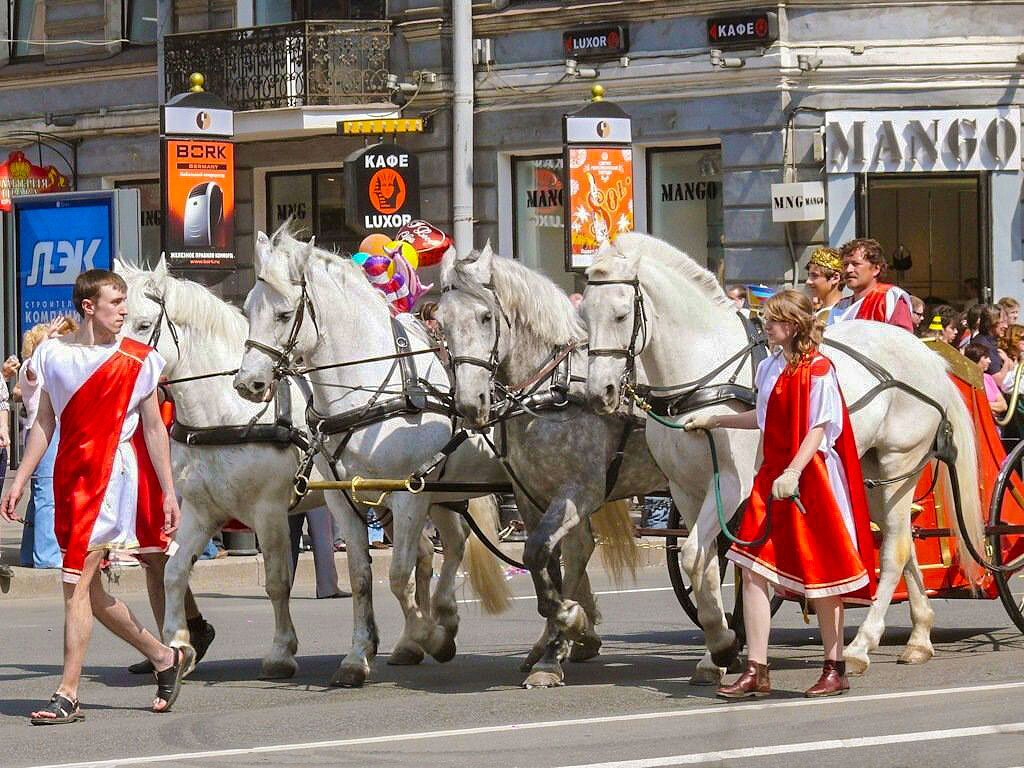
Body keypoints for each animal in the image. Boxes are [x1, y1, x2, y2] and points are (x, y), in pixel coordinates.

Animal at [233, 230, 520, 692]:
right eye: (247, 310)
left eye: (282, 314)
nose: (249, 383)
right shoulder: (345, 501)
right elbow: (362, 577)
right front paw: (358, 655)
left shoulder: (408, 496)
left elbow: (399, 576)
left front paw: (424, 634)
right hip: (444, 492)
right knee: (455, 543)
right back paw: (443, 618)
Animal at [436, 243, 667, 688]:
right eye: (440, 322)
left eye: (486, 316)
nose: (470, 404)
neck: (552, 391)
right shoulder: (530, 497)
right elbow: (545, 564)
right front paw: (555, 645)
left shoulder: (579, 492)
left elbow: (537, 552)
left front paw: (570, 622)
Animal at [585, 234, 983, 679]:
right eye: (584, 314)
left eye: (621, 314)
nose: (599, 392)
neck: (705, 374)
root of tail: (928, 355)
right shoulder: (686, 491)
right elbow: (705, 565)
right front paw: (719, 649)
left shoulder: (731, 483)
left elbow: (693, 557)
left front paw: (723, 643)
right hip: (870, 472)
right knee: (906, 545)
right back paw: (919, 637)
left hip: (900, 464)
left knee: (894, 550)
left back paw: (862, 646)